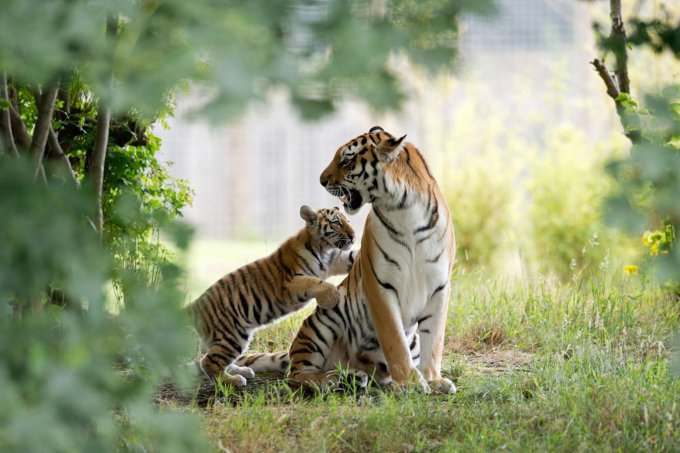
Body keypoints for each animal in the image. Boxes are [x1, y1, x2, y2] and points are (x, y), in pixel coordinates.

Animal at [187, 205, 356, 384]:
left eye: (348, 221)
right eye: (336, 223)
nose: (353, 236)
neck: (324, 249)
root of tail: (196, 304)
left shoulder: (337, 259)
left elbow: (352, 256)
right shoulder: (290, 282)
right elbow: (316, 282)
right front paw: (332, 298)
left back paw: (243, 371)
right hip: (232, 336)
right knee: (208, 362)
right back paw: (232, 380)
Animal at [236, 126, 454, 392]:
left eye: (347, 160)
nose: (321, 180)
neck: (404, 209)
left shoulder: (439, 285)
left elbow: (434, 340)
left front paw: (433, 380)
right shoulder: (380, 284)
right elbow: (394, 339)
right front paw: (410, 382)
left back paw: (356, 377)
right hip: (324, 321)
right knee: (297, 374)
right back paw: (329, 380)